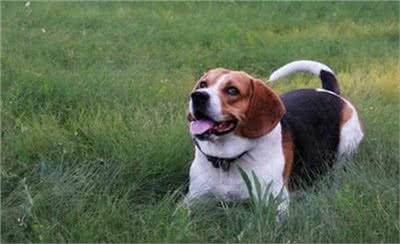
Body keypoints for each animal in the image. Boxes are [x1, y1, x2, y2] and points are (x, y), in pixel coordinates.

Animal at [186, 59, 364, 212]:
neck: (226, 160)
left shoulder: (276, 203)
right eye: (203, 84)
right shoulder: (193, 200)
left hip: (347, 145)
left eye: (232, 90)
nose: (197, 95)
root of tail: (331, 92)